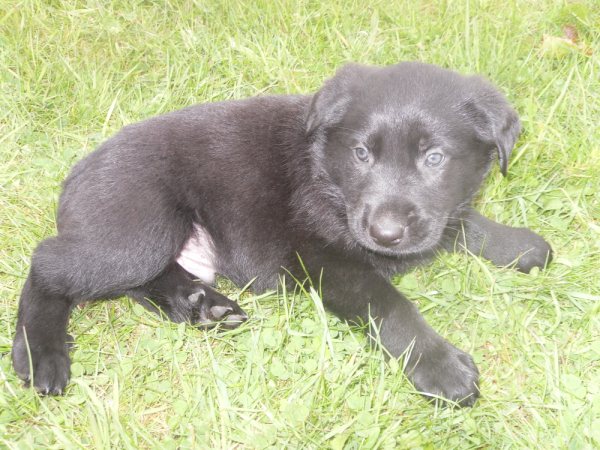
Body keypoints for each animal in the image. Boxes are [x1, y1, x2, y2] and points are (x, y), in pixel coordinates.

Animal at [11, 62, 552, 404]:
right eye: (361, 154)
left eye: (434, 157)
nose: (384, 232)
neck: (328, 173)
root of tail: (76, 175)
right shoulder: (326, 258)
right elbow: (388, 304)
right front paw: (438, 364)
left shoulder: (429, 216)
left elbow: (459, 222)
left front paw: (518, 244)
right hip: (138, 230)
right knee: (49, 264)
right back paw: (41, 356)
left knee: (143, 283)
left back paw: (202, 304)